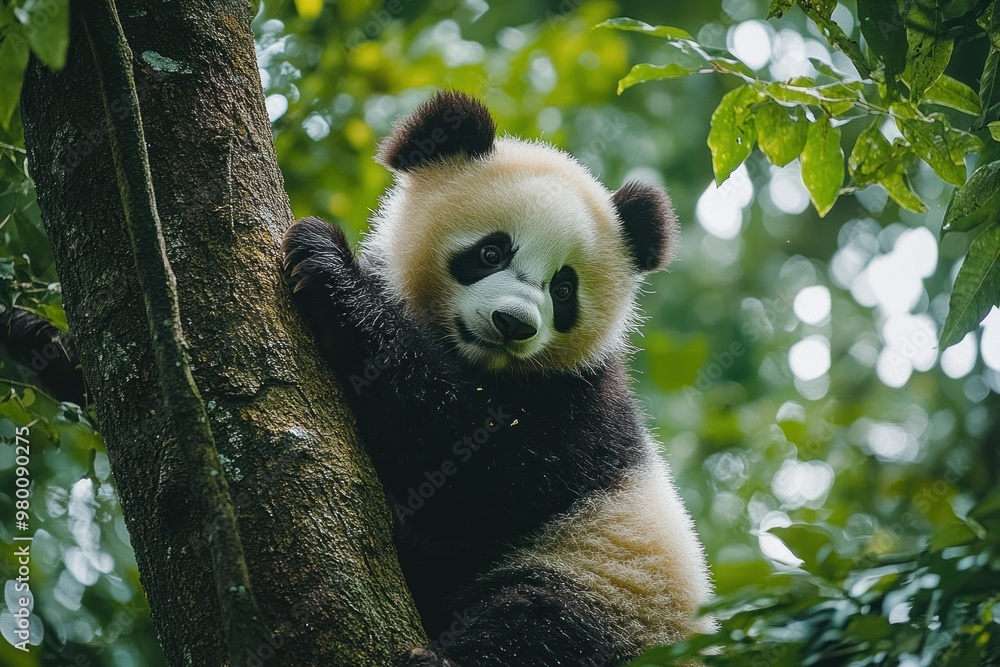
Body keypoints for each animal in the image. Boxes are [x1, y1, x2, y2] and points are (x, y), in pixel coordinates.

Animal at [281, 91, 714, 667]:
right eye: (491, 252)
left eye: (564, 289)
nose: (514, 323)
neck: (474, 363)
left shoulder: (582, 405)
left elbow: (482, 465)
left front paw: (328, 269)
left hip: (616, 589)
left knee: (543, 622)